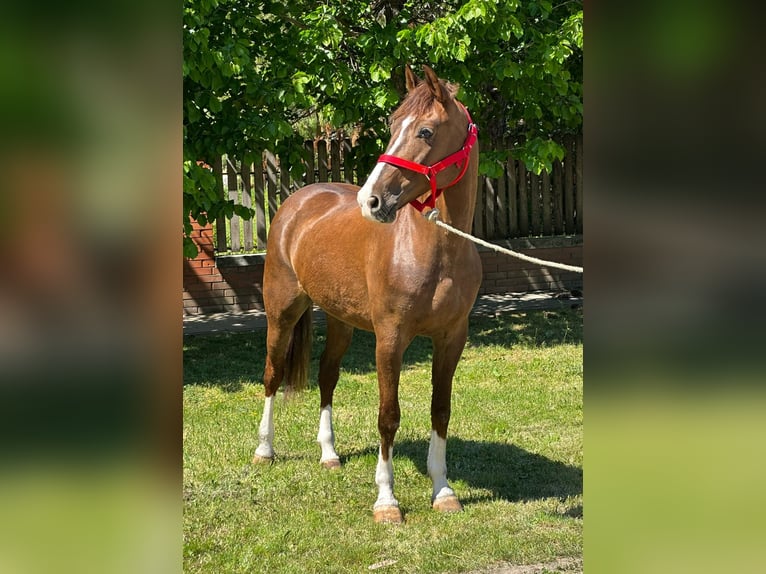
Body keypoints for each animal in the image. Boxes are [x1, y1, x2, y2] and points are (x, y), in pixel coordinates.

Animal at [253, 65, 481, 524]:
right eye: (392, 125)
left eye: (426, 131)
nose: (370, 200)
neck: (436, 251)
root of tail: (297, 202)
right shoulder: (390, 339)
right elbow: (388, 416)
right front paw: (387, 500)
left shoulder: (452, 338)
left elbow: (441, 410)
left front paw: (443, 490)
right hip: (281, 313)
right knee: (272, 374)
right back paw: (264, 450)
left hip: (340, 320)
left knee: (327, 376)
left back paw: (329, 454)